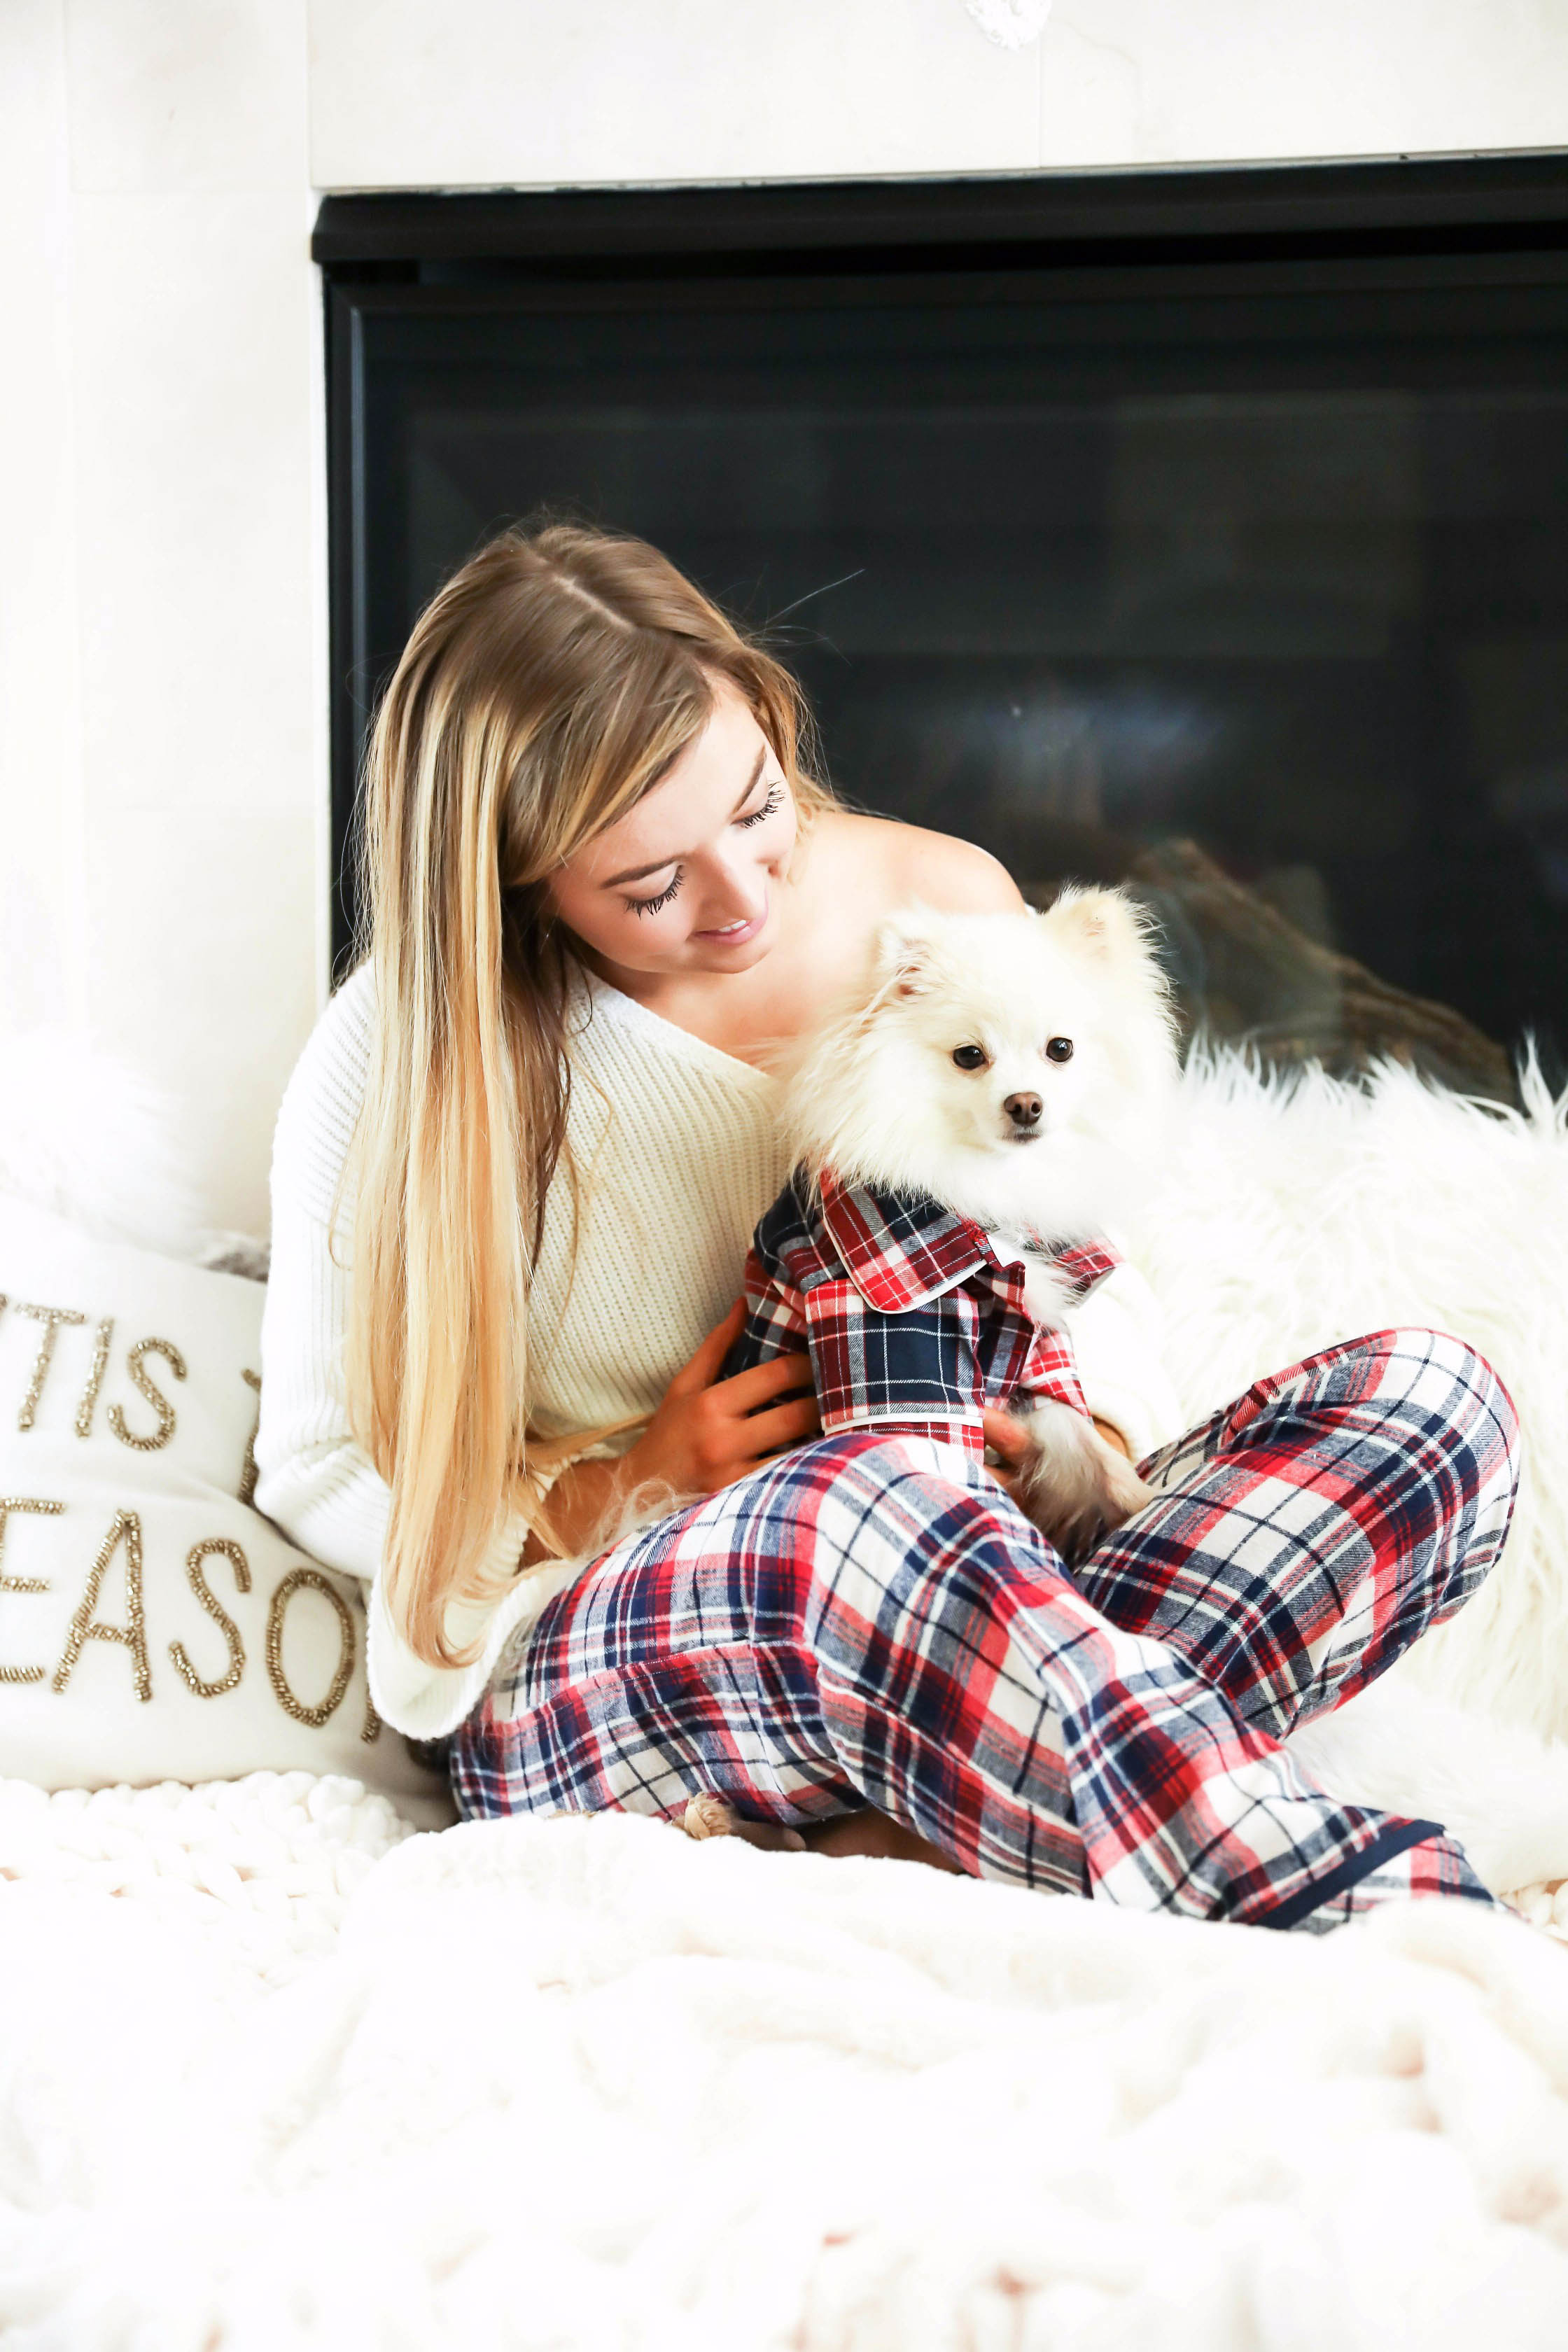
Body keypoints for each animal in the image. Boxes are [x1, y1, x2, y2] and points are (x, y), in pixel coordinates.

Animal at [780, 884, 1184, 1562]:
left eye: (1060, 1049)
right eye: (969, 1057)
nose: (1025, 1104)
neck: (990, 1192)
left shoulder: (1041, 1352)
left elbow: (1082, 1439)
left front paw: (1135, 1500)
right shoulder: (888, 1335)